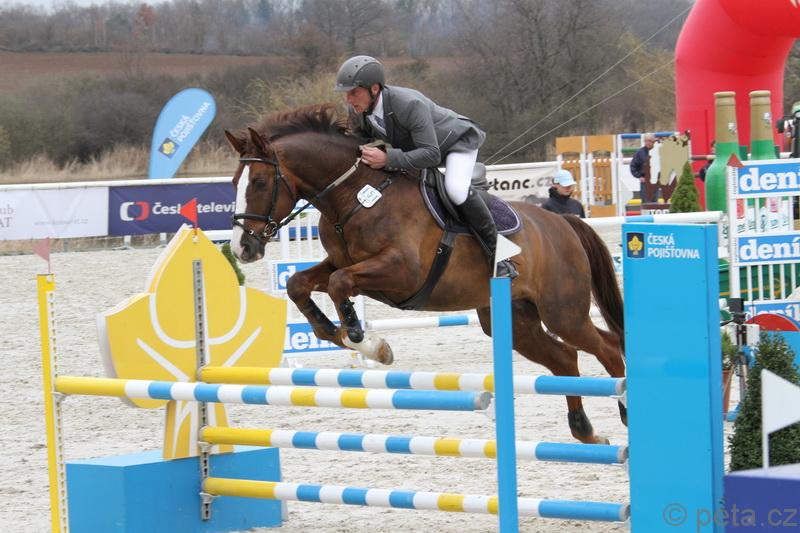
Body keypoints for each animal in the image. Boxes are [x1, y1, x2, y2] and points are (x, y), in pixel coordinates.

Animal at [225, 104, 626, 444]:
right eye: (232, 184)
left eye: (259, 183)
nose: (243, 248)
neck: (354, 197)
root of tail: (564, 222)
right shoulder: (340, 263)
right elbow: (299, 284)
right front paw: (337, 333)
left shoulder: (402, 272)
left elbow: (340, 285)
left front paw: (366, 341)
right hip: (516, 321)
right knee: (565, 358)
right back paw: (586, 431)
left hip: (563, 312)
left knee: (606, 347)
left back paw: (623, 409)